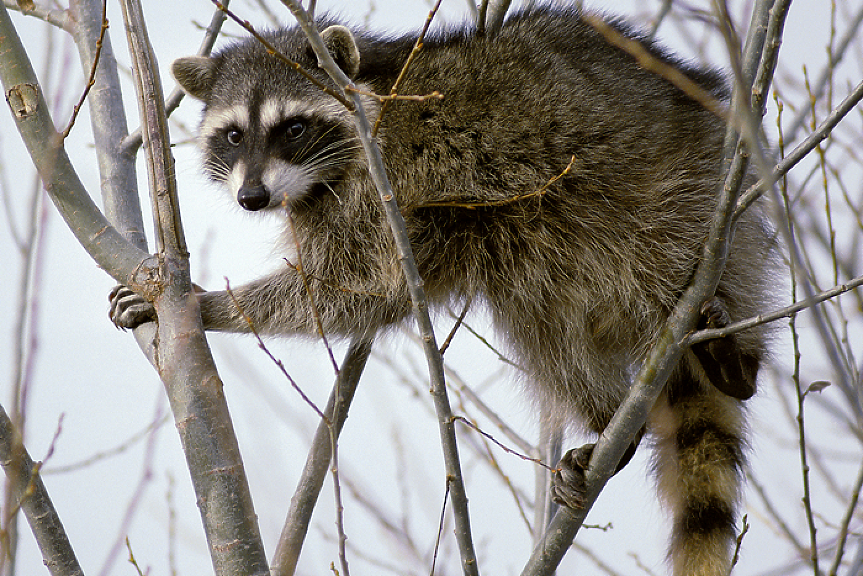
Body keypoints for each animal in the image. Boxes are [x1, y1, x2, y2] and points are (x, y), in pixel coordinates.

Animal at [109, 5, 776, 576]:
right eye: (232, 136)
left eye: (292, 127)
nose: (252, 197)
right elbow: (364, 294)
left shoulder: (388, 183)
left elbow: (350, 282)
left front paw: (209, 304)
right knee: (539, 319)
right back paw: (611, 417)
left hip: (681, 194)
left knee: (655, 252)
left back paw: (736, 359)